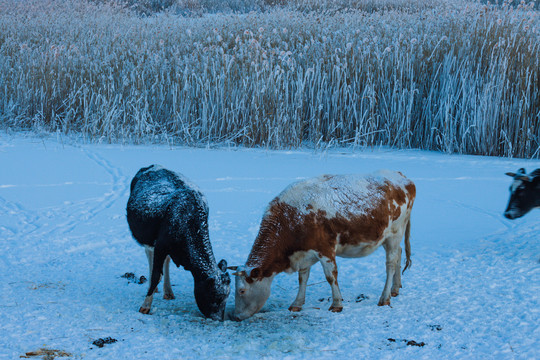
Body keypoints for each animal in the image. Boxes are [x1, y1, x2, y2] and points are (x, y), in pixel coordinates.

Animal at [126, 165, 230, 320]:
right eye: (214, 297)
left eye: (226, 298)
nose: (218, 320)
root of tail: (151, 166)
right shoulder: (160, 245)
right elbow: (156, 275)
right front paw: (145, 306)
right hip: (148, 239)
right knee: (150, 256)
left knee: (165, 262)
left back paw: (168, 291)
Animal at [230, 169, 416, 320]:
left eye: (241, 291)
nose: (236, 317)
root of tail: (402, 177)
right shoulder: (304, 252)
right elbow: (302, 278)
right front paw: (297, 303)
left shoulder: (325, 249)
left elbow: (330, 276)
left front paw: (336, 304)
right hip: (386, 238)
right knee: (399, 254)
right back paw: (395, 288)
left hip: (395, 233)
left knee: (390, 264)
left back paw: (385, 298)